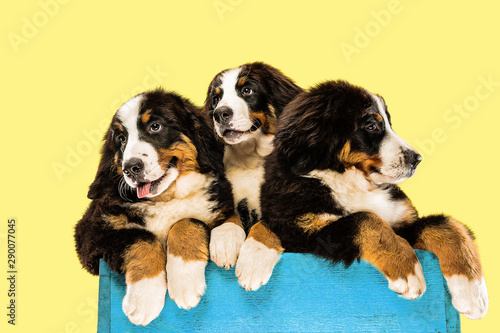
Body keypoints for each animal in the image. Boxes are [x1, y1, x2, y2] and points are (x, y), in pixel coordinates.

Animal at [74, 88, 234, 324]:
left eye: (155, 126)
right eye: (121, 139)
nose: (130, 167)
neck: (165, 199)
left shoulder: (218, 207)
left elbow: (186, 222)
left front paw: (184, 280)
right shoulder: (92, 234)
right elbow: (142, 238)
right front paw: (144, 298)